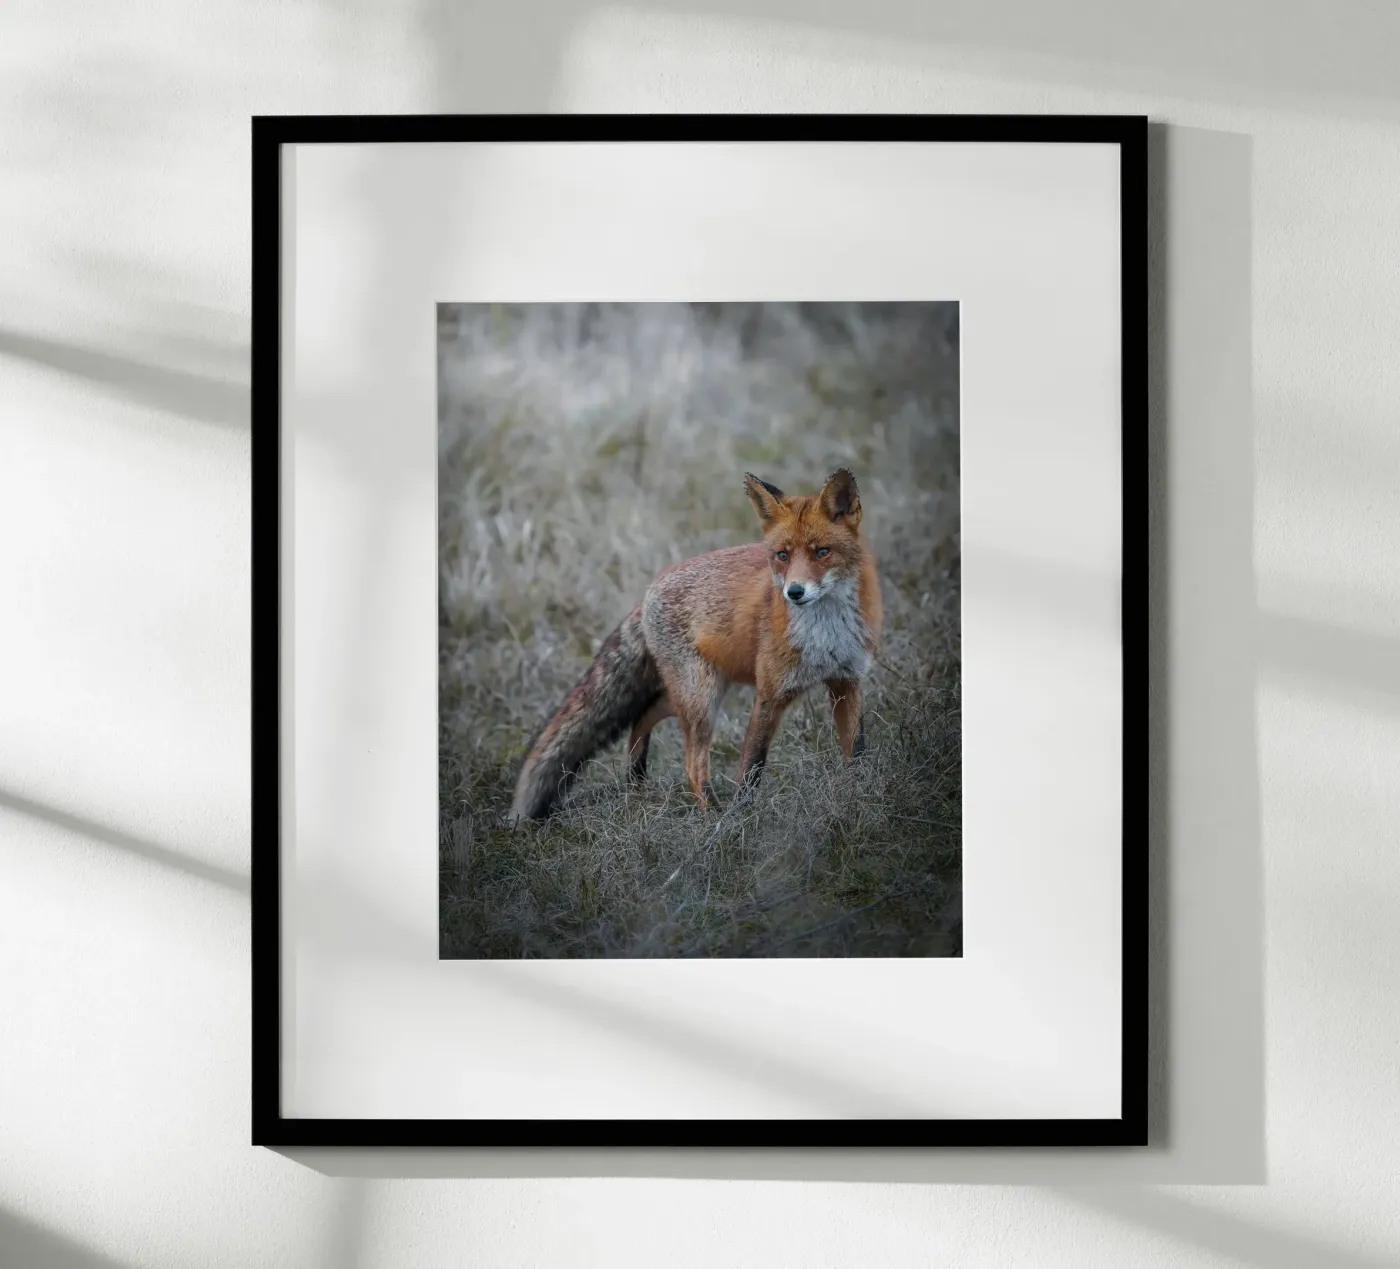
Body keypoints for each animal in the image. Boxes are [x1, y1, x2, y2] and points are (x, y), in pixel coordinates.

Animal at [508, 468, 883, 822]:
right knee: (691, 764)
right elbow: (751, 769)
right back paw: (710, 817)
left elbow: (857, 750)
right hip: (701, 698)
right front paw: (738, 822)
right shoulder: (770, 693)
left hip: (699, 692)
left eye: (822, 552)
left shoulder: (847, 681)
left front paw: (859, 797)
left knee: (643, 715)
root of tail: (649, 591)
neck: (825, 634)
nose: (794, 592)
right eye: (782, 555)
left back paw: (637, 779)